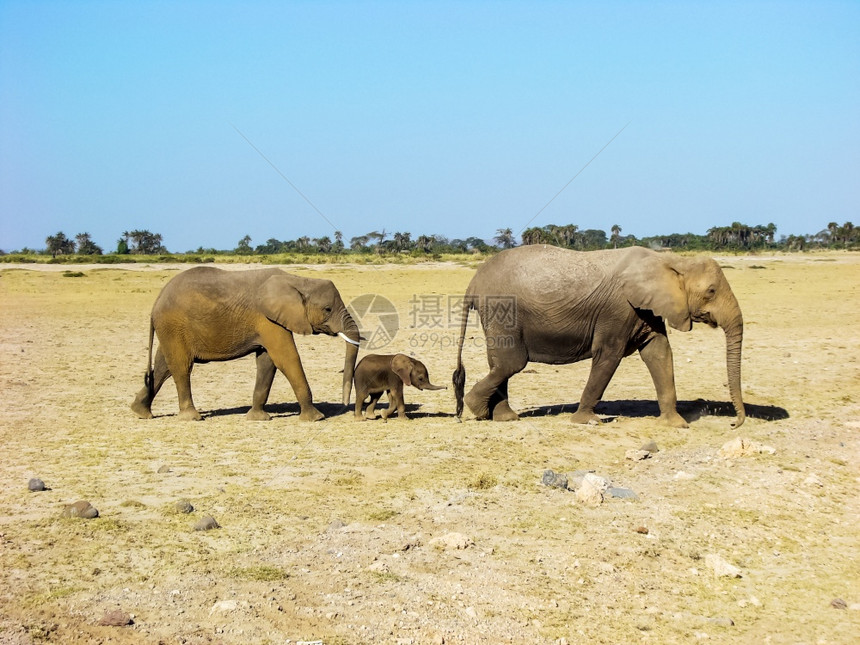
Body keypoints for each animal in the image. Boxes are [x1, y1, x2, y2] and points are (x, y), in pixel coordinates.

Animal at [130, 264, 360, 420]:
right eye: (327, 309)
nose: (344, 405)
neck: (299, 280)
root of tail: (156, 301)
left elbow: (267, 362)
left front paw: (257, 418)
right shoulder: (267, 319)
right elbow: (287, 358)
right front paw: (316, 418)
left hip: (170, 329)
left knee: (163, 367)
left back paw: (141, 412)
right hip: (173, 325)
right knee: (181, 366)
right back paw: (192, 417)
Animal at [454, 247, 744, 428]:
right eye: (711, 291)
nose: (734, 423)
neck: (670, 261)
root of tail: (473, 283)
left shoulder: (645, 309)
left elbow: (659, 353)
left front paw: (676, 424)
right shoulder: (618, 311)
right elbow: (608, 356)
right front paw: (587, 421)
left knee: (501, 365)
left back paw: (504, 417)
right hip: (503, 311)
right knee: (511, 363)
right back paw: (477, 409)